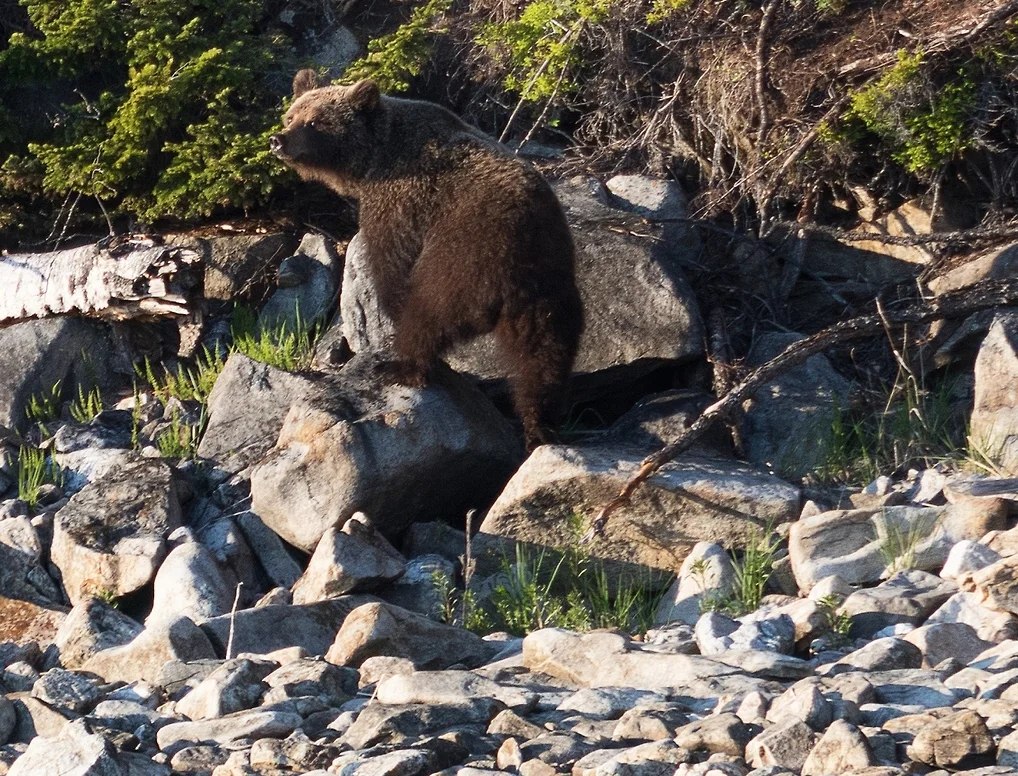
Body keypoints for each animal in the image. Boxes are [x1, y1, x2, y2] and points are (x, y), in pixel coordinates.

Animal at [269, 70, 584, 448]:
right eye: (291, 116)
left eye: (315, 121)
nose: (279, 140)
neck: (375, 159)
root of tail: (513, 276)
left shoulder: (403, 199)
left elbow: (392, 261)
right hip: (549, 292)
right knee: (542, 359)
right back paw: (539, 424)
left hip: (462, 260)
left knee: (428, 311)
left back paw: (401, 366)